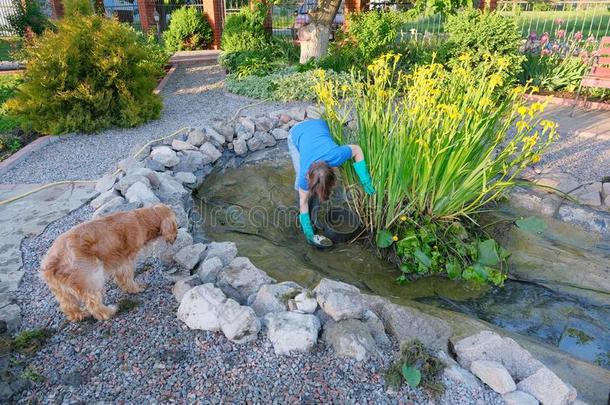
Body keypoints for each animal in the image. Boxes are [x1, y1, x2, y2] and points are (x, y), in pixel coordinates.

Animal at [40, 204, 176, 320]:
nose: (175, 236)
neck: (141, 220)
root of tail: (50, 264)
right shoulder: (125, 261)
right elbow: (128, 278)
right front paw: (135, 288)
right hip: (92, 275)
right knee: (93, 303)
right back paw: (109, 312)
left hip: (62, 291)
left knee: (68, 305)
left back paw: (80, 315)